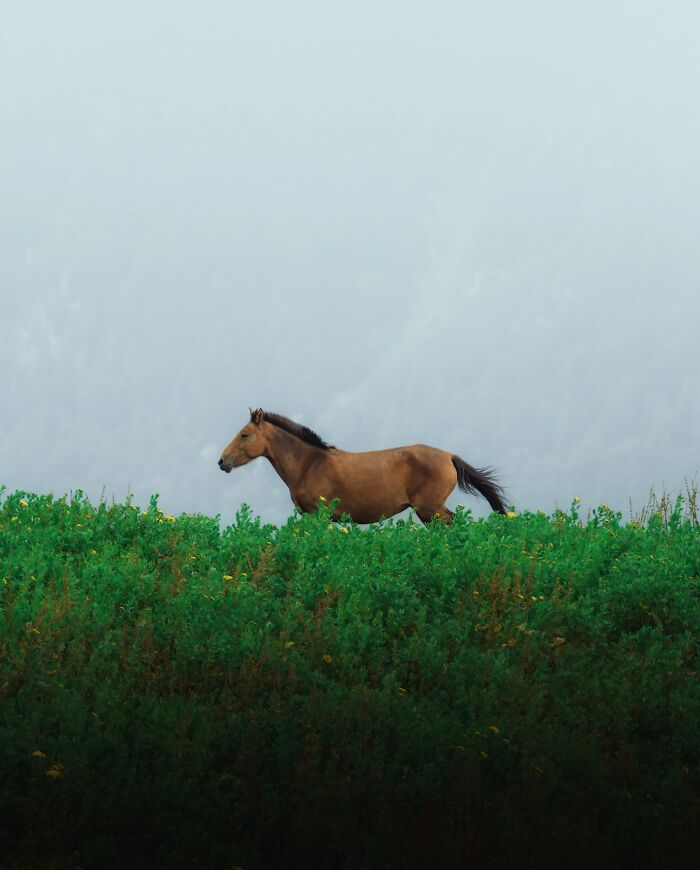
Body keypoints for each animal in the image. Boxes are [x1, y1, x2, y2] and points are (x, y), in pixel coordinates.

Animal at [218, 408, 507, 524]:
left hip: (430, 508)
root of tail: (448, 456)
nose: (222, 462)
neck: (309, 464)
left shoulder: (318, 515)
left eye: (244, 434)